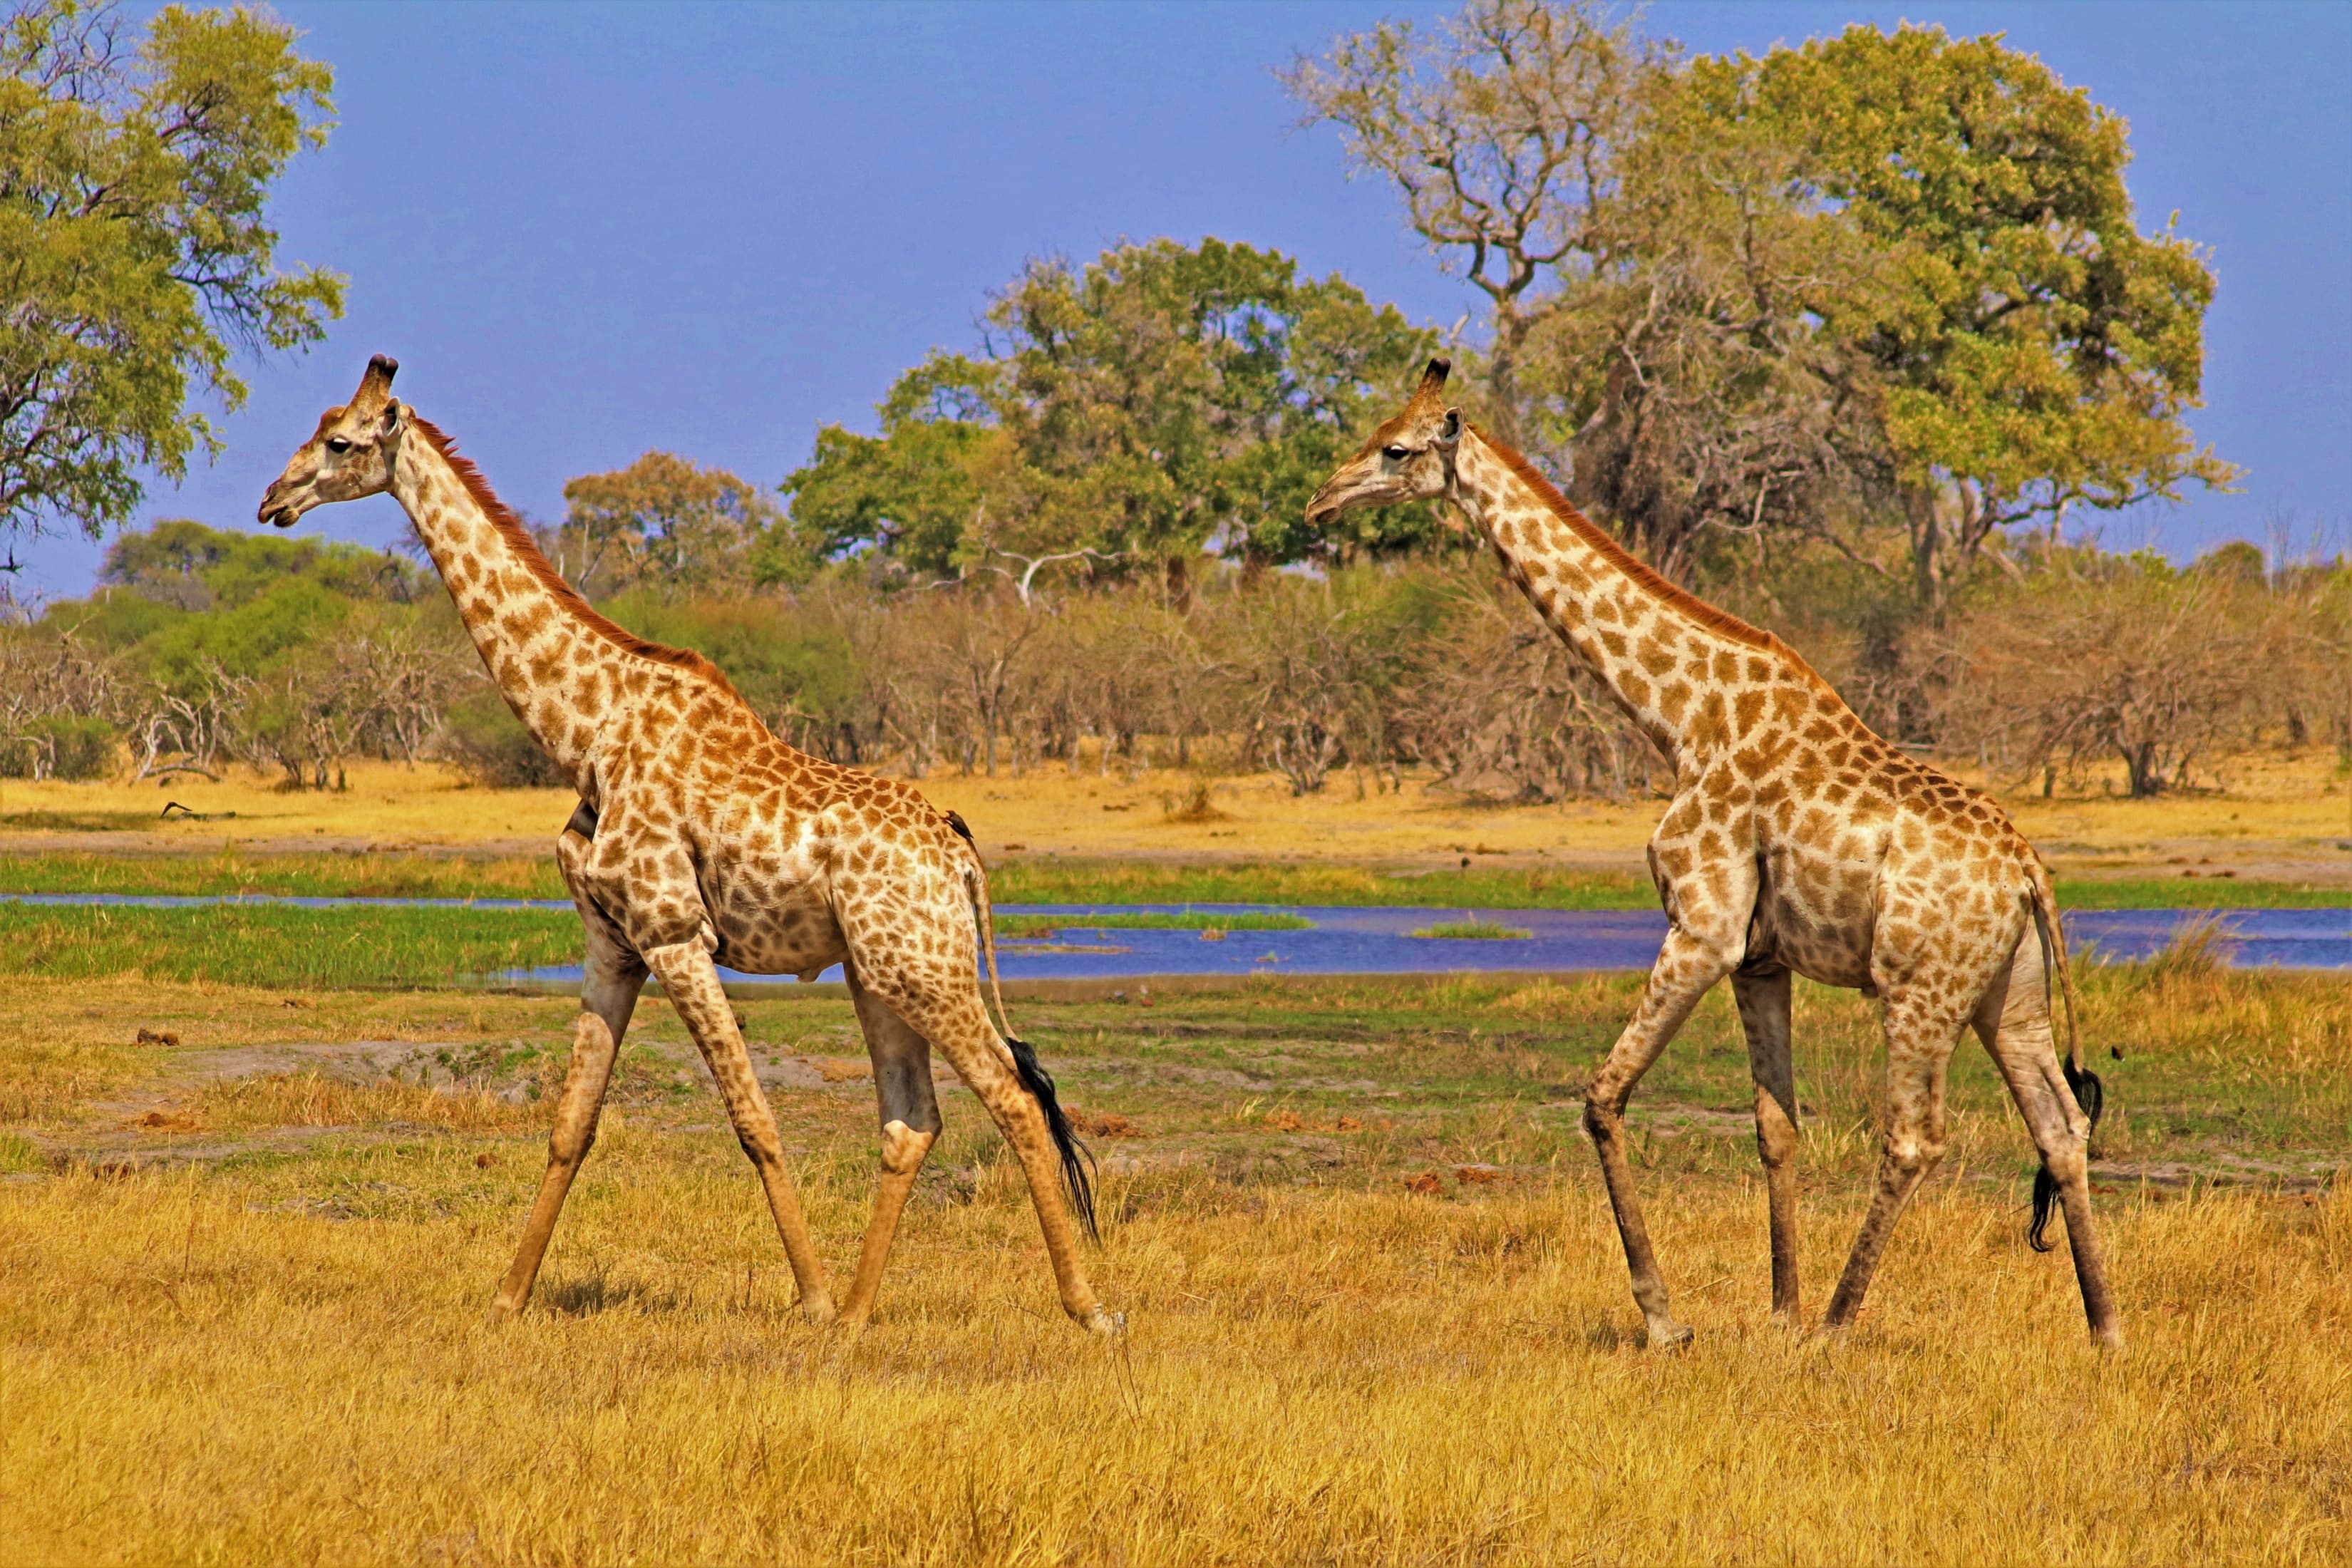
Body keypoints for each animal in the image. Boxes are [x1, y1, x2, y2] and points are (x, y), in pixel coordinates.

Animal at [257, 356, 1119, 1335]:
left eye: (339, 442)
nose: (274, 499)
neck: (586, 730)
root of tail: (960, 854)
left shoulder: (675, 934)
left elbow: (755, 1121)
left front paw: (811, 1297)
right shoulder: (612, 943)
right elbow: (571, 1124)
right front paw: (508, 1296)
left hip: (926, 970)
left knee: (1014, 1097)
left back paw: (1083, 1308)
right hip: (881, 972)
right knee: (914, 1120)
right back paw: (862, 1316)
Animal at [1307, 361, 2120, 1348]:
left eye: (1394, 448)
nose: (1318, 500)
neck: (1683, 719)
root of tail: (2029, 875)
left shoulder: (1702, 929)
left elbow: (1602, 1097)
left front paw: (1668, 1318)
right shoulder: (1759, 957)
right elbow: (1776, 1127)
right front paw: (1777, 1310)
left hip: (1921, 990)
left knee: (1915, 1138)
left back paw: (1839, 1327)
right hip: (2010, 993)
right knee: (2060, 1126)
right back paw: (2104, 1330)